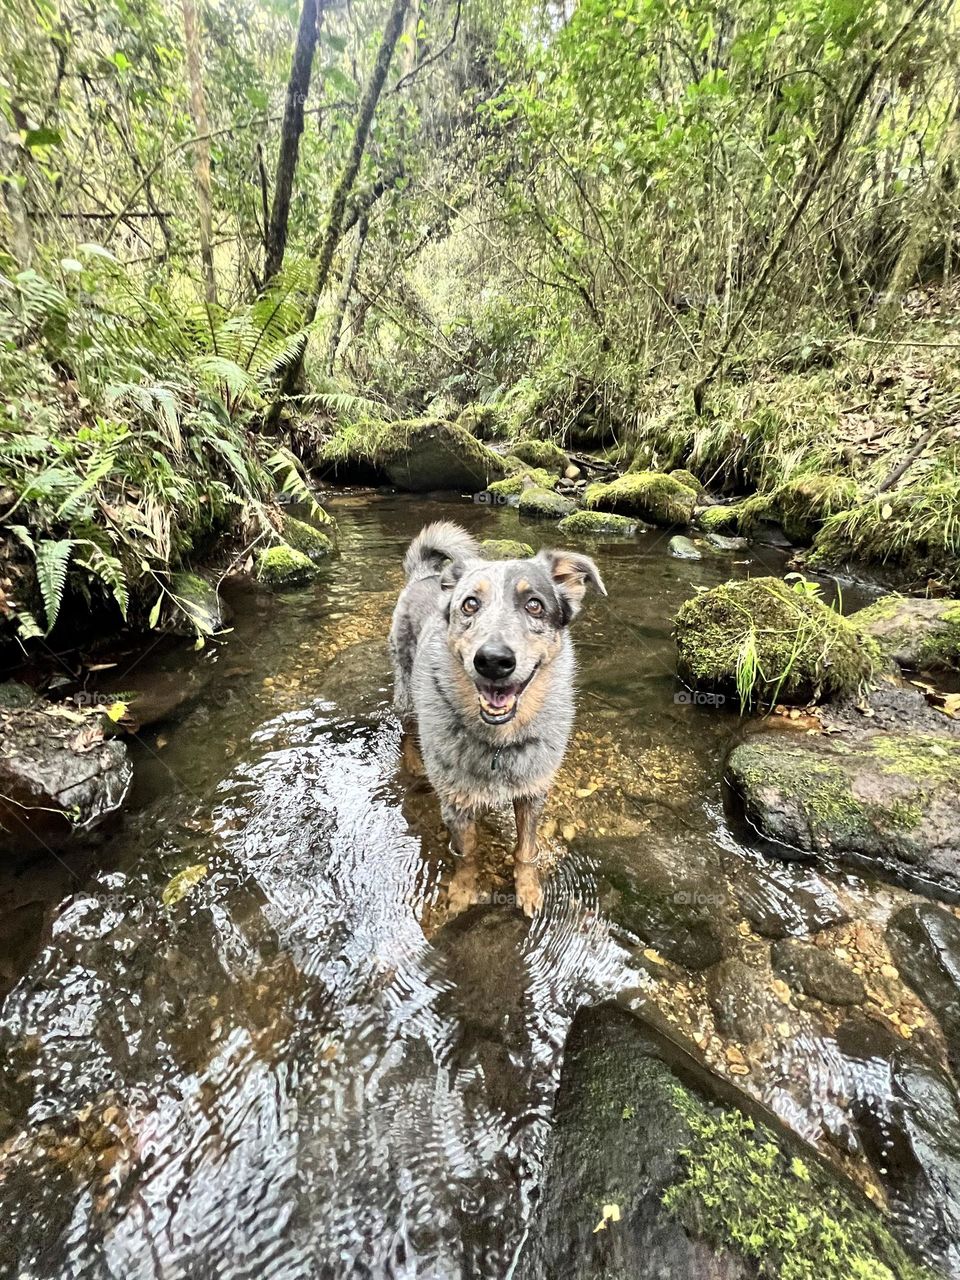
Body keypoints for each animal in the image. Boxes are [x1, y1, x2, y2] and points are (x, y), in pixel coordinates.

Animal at [389, 524, 601, 916]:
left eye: (534, 604)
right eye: (470, 603)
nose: (493, 660)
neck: (499, 742)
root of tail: (424, 575)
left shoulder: (533, 794)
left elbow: (526, 850)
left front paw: (528, 891)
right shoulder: (456, 804)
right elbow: (467, 856)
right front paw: (461, 893)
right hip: (406, 691)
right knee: (407, 731)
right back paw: (413, 765)